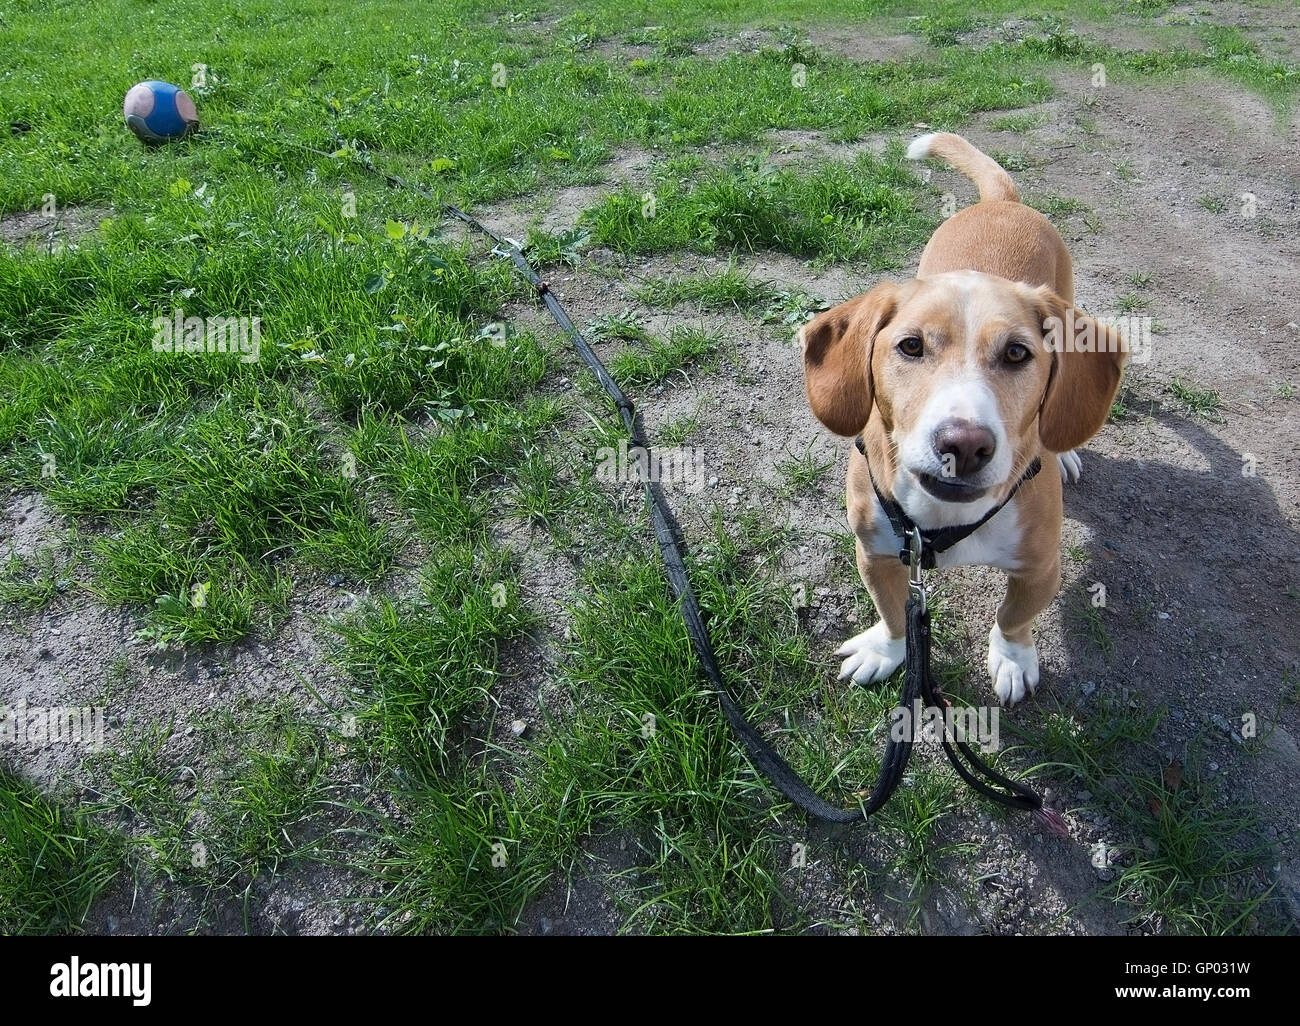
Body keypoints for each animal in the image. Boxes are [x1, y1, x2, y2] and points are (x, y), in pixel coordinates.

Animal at [795, 130, 1123, 702]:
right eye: (910, 345)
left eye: (1017, 354)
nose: (963, 445)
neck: (942, 523)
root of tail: (1002, 203)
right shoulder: (876, 553)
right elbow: (895, 615)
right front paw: (886, 651)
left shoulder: (1041, 567)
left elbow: (1013, 619)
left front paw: (1012, 659)